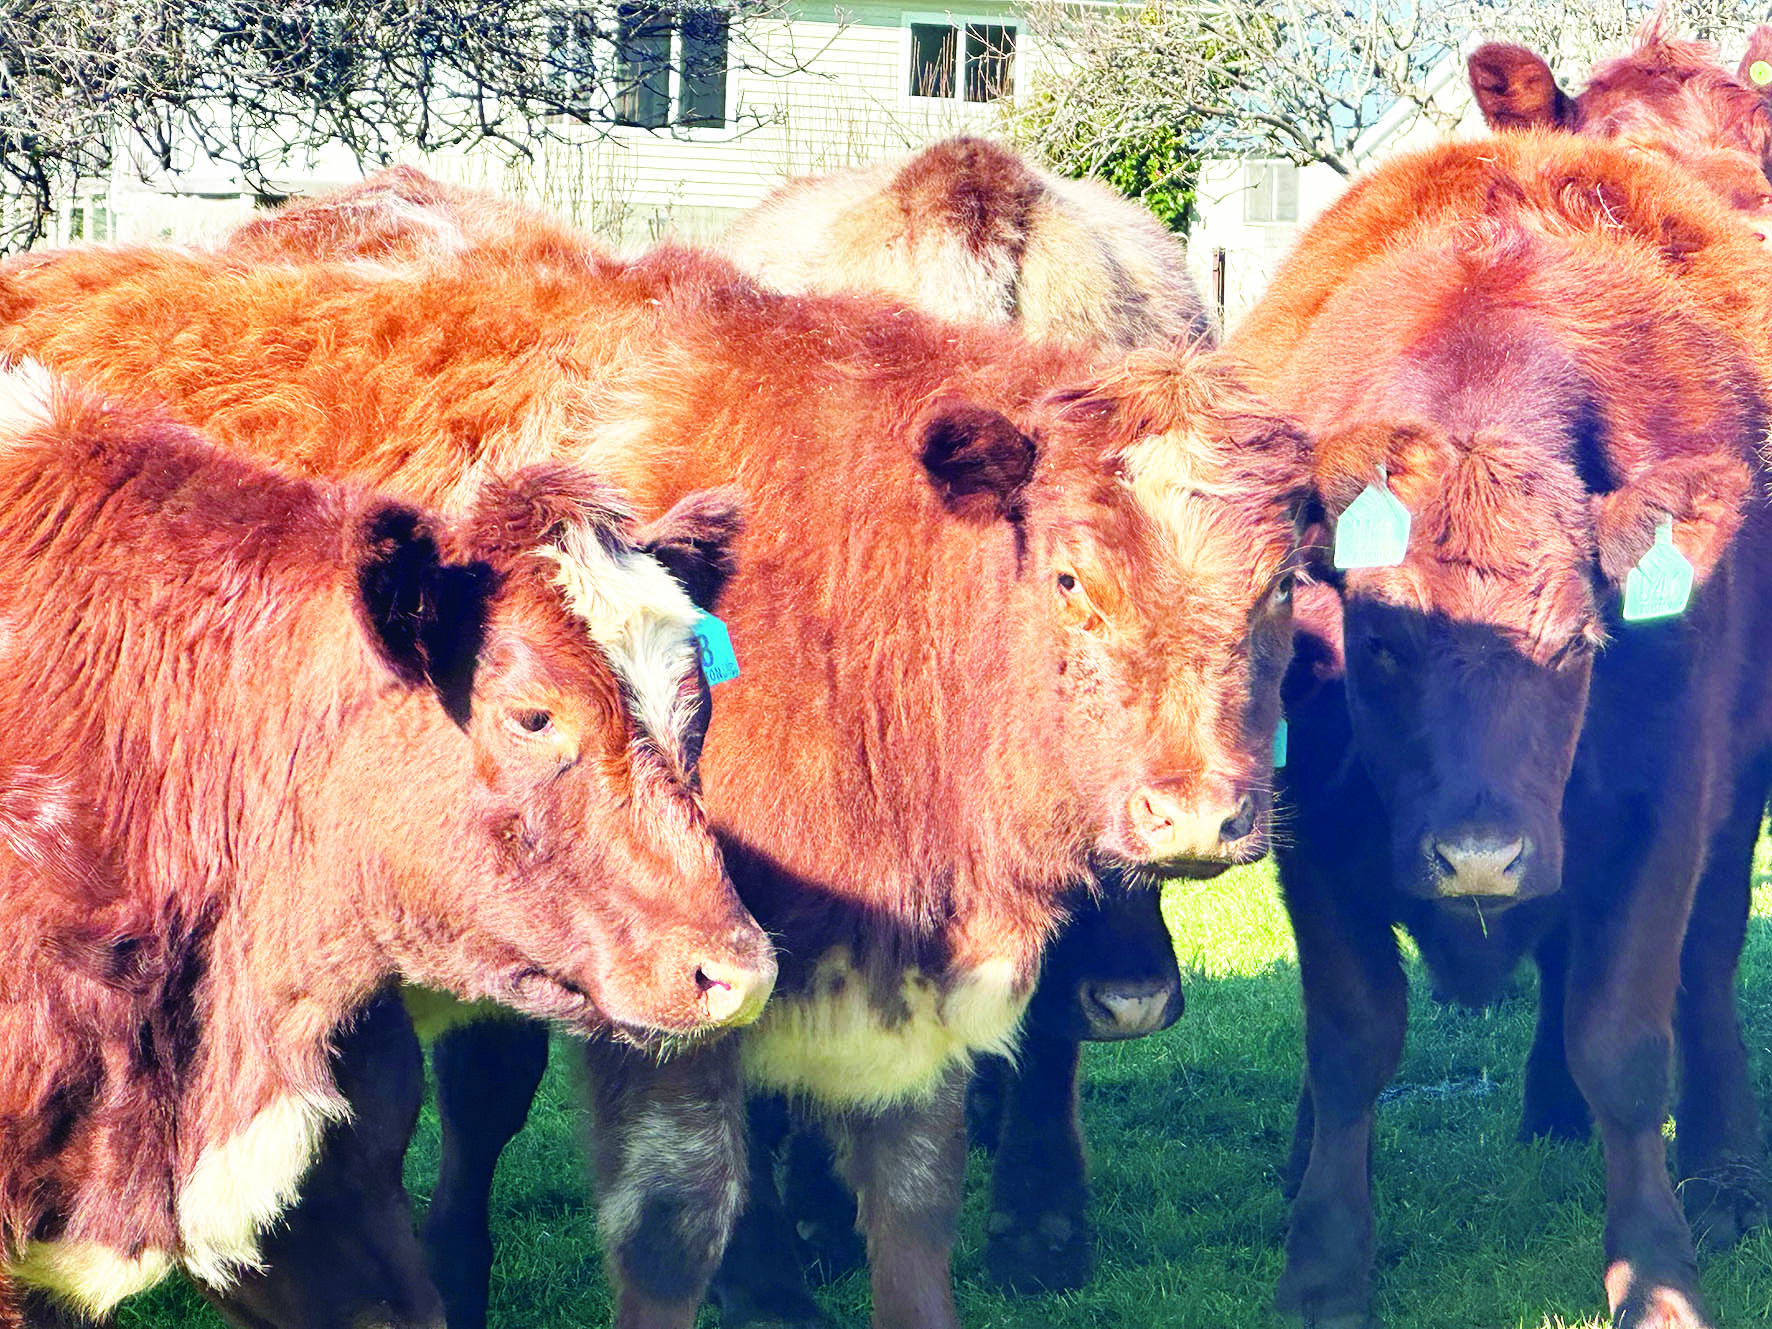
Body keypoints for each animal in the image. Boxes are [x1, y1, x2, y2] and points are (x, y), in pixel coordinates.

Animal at [1226, 130, 1772, 1329]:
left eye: (1576, 643)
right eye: (1379, 639)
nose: (1479, 857)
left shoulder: (1660, 813)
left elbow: (1623, 1040)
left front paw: (1658, 1272)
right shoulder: (1311, 824)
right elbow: (1350, 1038)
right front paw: (1322, 1261)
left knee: (1703, 969)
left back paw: (1716, 1172)